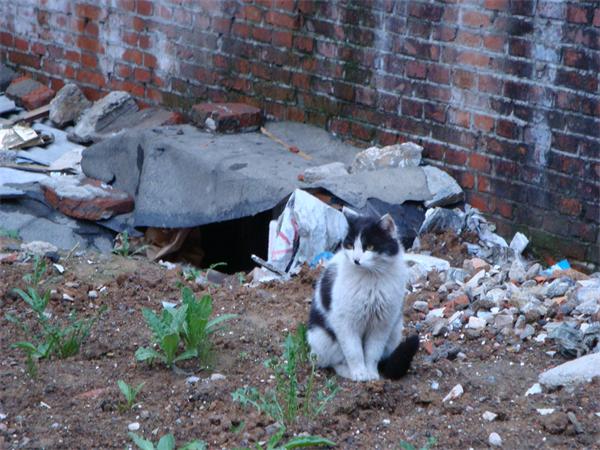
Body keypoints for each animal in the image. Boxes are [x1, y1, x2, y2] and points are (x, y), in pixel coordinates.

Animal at [308, 210, 420, 380]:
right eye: (350, 246)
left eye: (370, 247)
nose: (356, 260)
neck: (370, 279)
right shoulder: (345, 323)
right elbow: (354, 352)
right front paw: (360, 373)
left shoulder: (382, 325)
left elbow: (372, 353)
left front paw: (372, 374)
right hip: (322, 338)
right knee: (332, 362)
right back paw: (347, 372)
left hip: (394, 332)